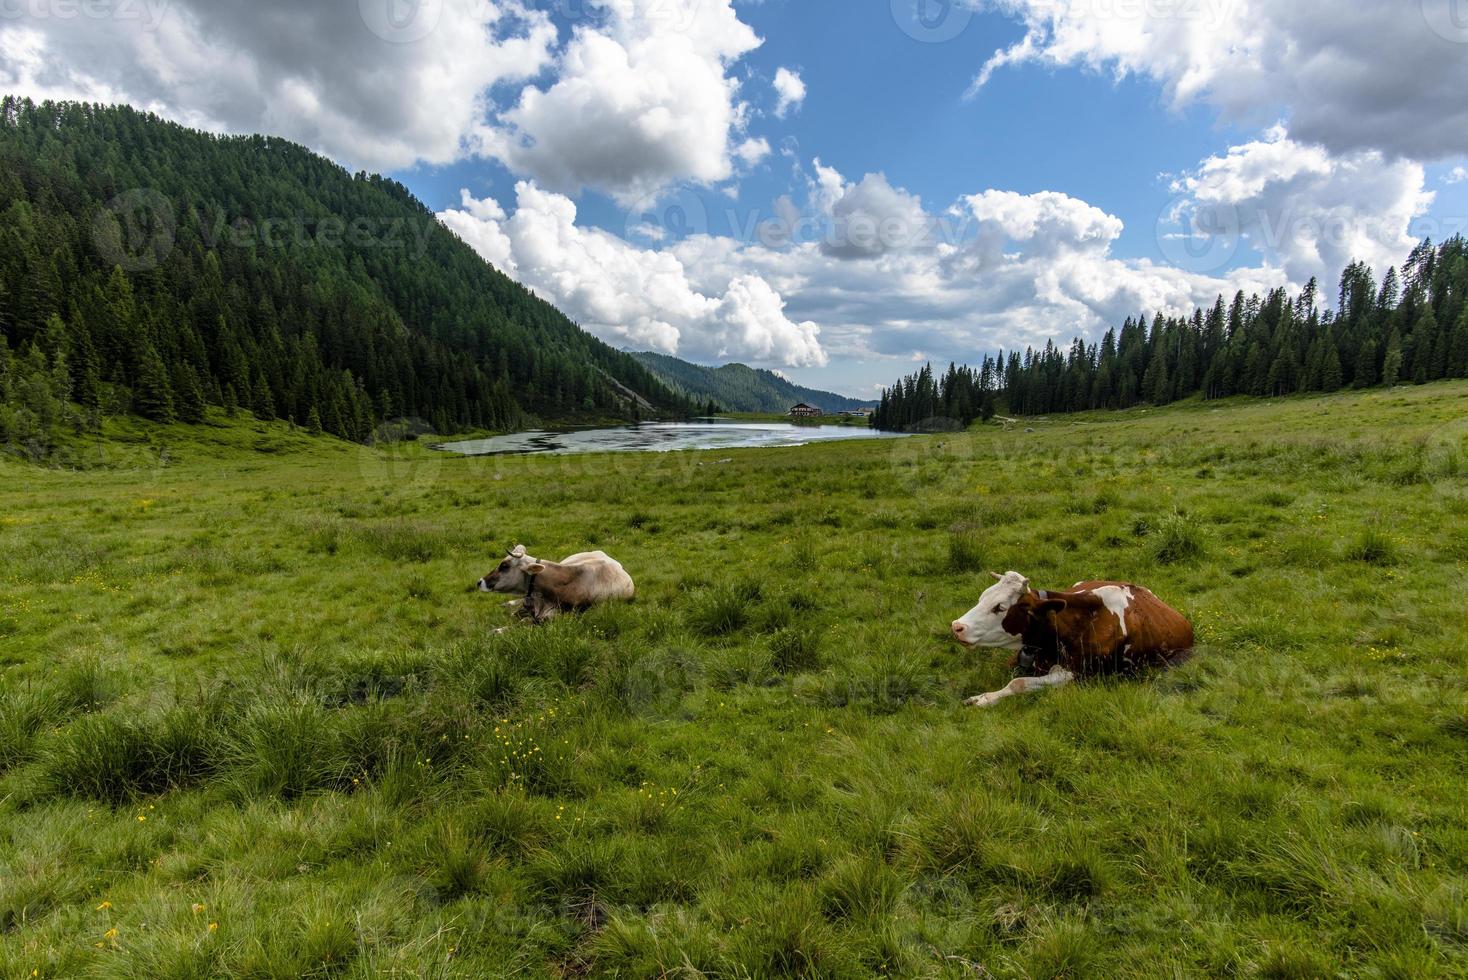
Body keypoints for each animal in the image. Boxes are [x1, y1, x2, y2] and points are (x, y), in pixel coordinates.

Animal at [951, 569, 1192, 707]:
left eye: (999, 607)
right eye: (982, 597)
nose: (957, 626)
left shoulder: (1079, 675)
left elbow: (1018, 683)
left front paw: (985, 699)